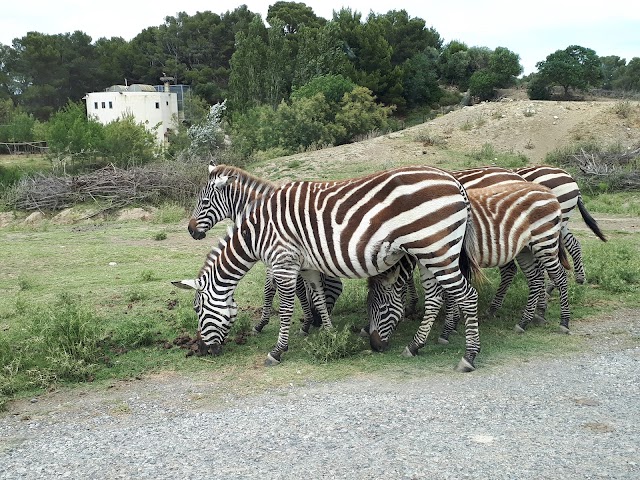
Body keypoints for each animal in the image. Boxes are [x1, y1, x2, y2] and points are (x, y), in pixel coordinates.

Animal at [364, 180, 568, 352]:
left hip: (545, 243)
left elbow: (449, 294)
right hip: (526, 249)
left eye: (382, 309)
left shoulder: (446, 260)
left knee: (560, 276)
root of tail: (548, 192)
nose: (375, 347)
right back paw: (525, 321)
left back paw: (563, 322)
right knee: (535, 279)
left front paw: (448, 329)